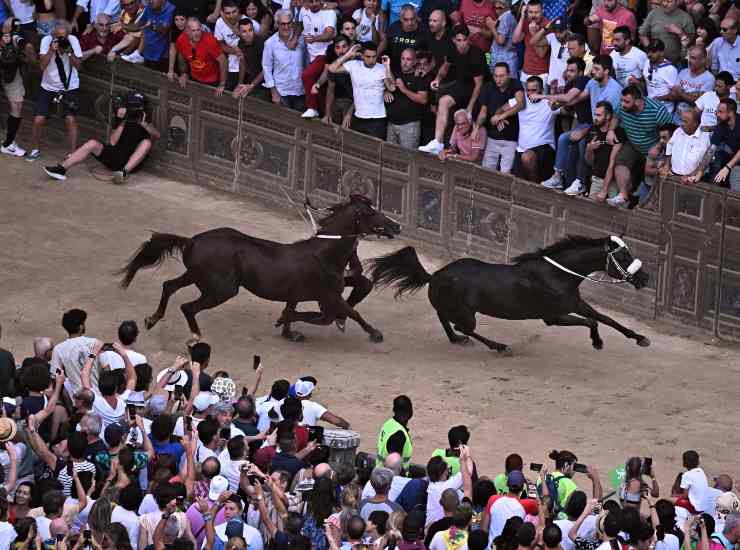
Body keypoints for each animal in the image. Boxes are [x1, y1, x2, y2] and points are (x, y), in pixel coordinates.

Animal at [118, 196, 402, 342]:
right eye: (369, 212)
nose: (396, 226)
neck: (325, 254)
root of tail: (192, 240)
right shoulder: (329, 297)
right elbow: (346, 314)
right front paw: (375, 334)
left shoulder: (302, 296)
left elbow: (298, 312)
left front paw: (287, 328)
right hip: (222, 289)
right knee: (188, 307)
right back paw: (195, 336)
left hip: (198, 277)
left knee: (169, 286)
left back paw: (152, 319)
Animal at [368, 235, 648, 352]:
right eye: (624, 256)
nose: (644, 279)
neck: (556, 275)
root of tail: (434, 275)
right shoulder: (554, 316)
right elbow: (592, 322)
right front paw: (597, 343)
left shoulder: (575, 303)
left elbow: (605, 319)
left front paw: (640, 338)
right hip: (467, 313)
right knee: (463, 326)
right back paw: (499, 346)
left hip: (452, 307)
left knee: (446, 320)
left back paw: (458, 341)